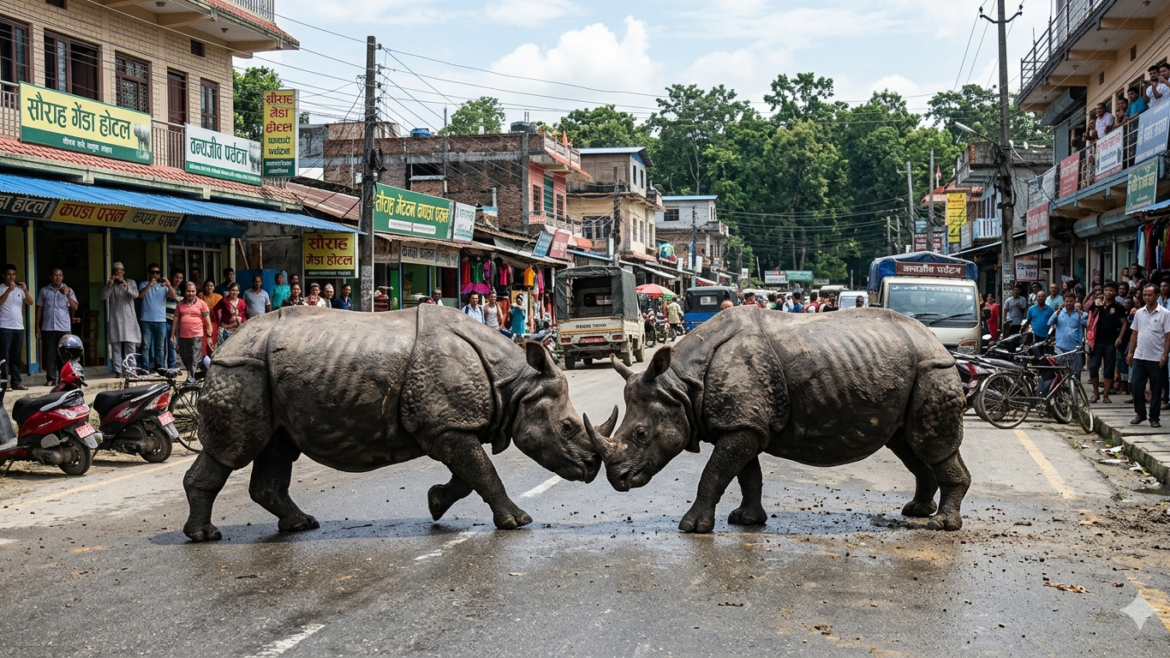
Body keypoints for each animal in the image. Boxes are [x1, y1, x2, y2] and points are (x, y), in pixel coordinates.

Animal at [182, 305, 611, 542]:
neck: (516, 385)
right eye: (567, 427)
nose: (592, 468)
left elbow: (468, 475)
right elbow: (483, 472)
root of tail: (224, 344)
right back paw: (206, 536)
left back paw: (302, 525)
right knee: (234, 450)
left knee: (277, 447)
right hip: (243, 370)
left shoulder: (449, 426)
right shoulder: (447, 426)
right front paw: (518, 521)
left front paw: (435, 504)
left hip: (263, 373)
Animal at [587, 305, 970, 533]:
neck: (680, 386)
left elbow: (715, 472)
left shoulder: (742, 425)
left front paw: (692, 528)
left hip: (932, 370)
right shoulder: (746, 422)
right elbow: (746, 475)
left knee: (929, 444)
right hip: (913, 371)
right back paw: (916, 511)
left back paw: (942, 525)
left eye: (640, 433)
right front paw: (747, 520)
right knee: (908, 445)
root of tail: (937, 341)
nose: (618, 480)